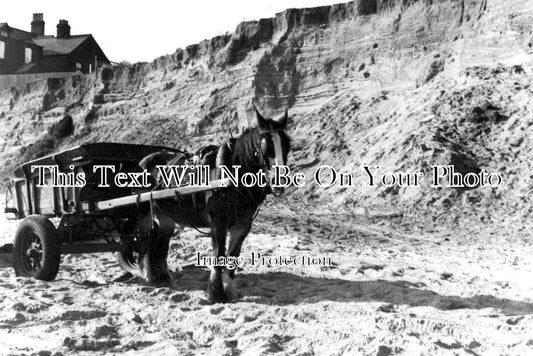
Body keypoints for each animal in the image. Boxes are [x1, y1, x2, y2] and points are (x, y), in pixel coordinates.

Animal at [133, 105, 290, 304]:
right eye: (265, 145)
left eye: (287, 144)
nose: (280, 181)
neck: (231, 174)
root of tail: (143, 161)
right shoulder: (218, 223)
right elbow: (219, 255)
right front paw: (216, 293)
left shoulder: (242, 225)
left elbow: (232, 256)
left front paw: (230, 290)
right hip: (143, 213)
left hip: (165, 216)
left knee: (159, 244)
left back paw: (161, 278)